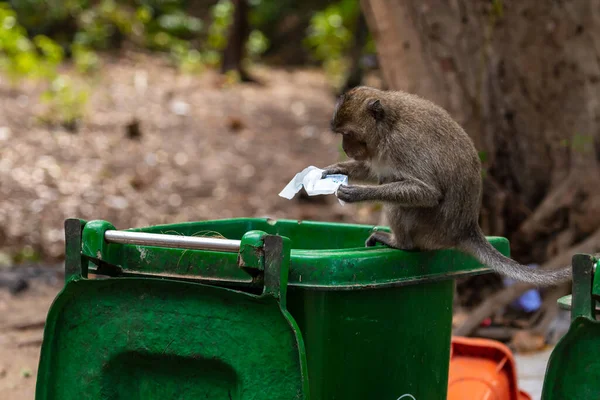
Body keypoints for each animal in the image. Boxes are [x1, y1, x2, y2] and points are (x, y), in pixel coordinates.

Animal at [326, 86, 568, 286]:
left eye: (347, 134)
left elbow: (428, 193)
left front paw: (357, 193)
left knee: (397, 203)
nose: (345, 148)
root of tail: (466, 228)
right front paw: (335, 170)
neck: (388, 125)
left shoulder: (401, 144)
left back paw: (400, 243)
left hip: (429, 229)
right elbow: (375, 170)